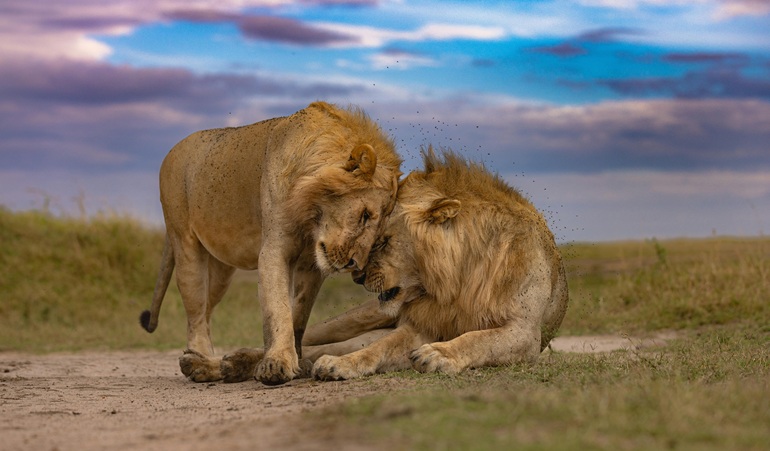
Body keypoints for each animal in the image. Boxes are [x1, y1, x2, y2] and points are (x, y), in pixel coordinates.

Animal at [139, 101, 401, 385]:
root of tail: (173, 149)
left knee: (207, 309)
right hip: (185, 243)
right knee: (196, 312)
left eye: (379, 229)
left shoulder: (312, 264)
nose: (355, 265)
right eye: (365, 215)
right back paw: (199, 359)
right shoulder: (274, 249)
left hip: (221, 271)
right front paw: (277, 363)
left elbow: (299, 313)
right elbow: (278, 309)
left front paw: (295, 361)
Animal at [308, 148, 569, 380]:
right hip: (357, 317)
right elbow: (379, 348)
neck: (457, 282)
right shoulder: (422, 326)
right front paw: (340, 364)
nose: (357, 277)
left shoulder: (525, 332)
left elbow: (478, 339)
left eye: (383, 241)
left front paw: (438, 354)